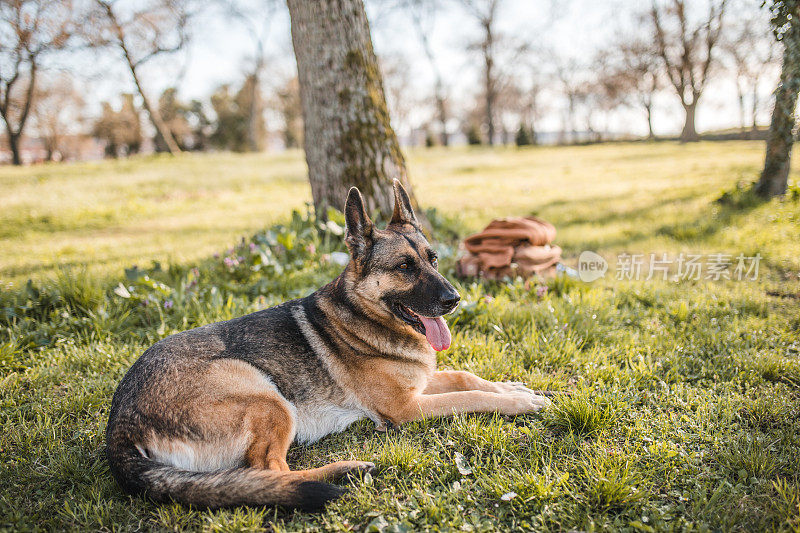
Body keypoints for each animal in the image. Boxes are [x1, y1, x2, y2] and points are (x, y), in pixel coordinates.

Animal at [106, 181, 552, 510]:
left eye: (434, 260)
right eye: (404, 267)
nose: (455, 299)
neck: (365, 315)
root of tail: (119, 428)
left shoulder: (421, 383)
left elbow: (466, 376)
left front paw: (510, 387)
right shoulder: (406, 409)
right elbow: (472, 397)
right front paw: (517, 402)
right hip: (266, 396)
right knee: (271, 473)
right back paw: (344, 471)